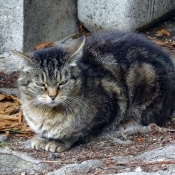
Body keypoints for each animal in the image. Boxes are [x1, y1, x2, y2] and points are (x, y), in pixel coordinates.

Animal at [13, 31, 175, 153]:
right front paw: (42, 138)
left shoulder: (113, 103)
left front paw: (58, 141)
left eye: (63, 82)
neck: (46, 114)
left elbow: (80, 132)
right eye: (41, 84)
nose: (53, 96)